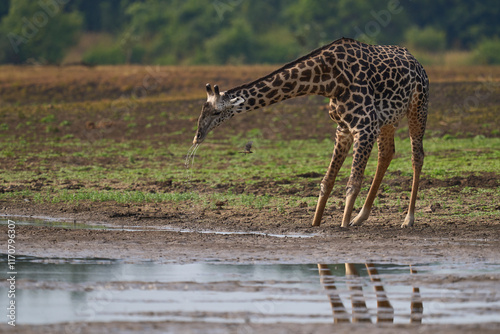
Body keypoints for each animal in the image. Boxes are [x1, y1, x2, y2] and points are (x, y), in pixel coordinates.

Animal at [193, 37, 428, 228]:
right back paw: (360, 217)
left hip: (418, 106)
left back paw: (408, 219)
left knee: (417, 156)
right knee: (386, 153)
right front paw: (316, 224)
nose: (197, 136)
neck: (328, 81)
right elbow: (327, 182)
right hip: (388, 120)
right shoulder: (344, 128)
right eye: (202, 109)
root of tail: (416, 61)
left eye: (216, 112)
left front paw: (343, 226)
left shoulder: (365, 126)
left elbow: (352, 183)